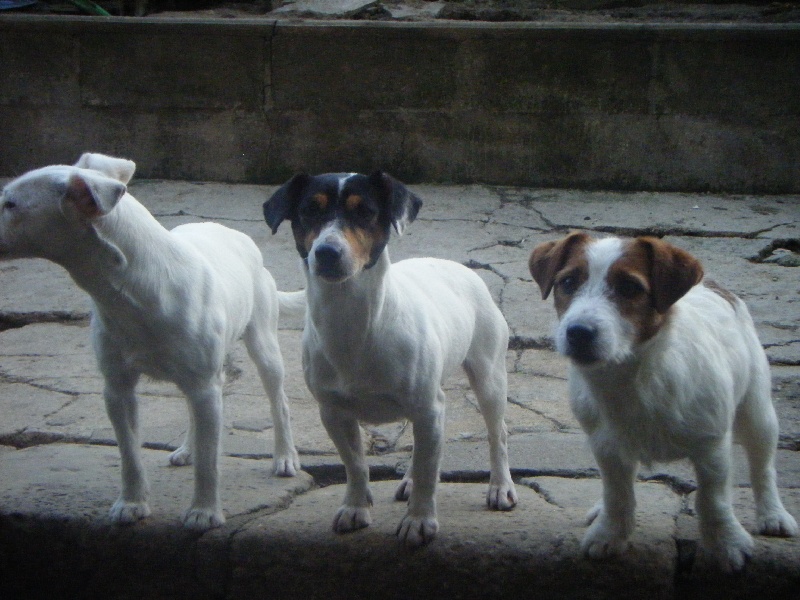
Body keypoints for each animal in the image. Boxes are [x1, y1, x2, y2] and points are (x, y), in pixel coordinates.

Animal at [0, 153, 302, 530]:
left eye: (11, 204)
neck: (135, 291)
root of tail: (233, 234)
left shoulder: (204, 385)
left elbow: (209, 461)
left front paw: (204, 511)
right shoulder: (118, 389)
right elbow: (129, 452)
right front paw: (132, 503)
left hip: (263, 347)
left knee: (279, 402)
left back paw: (284, 456)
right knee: (195, 415)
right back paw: (187, 448)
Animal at [263, 171, 518, 546]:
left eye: (364, 211)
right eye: (309, 210)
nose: (326, 252)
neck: (355, 325)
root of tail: (457, 267)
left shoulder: (429, 406)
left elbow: (428, 469)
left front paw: (419, 521)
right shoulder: (334, 413)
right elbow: (356, 465)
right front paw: (356, 508)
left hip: (489, 378)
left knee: (496, 433)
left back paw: (500, 487)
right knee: (422, 446)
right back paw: (409, 480)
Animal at [529, 232, 797, 570]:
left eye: (629, 287)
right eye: (567, 282)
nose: (578, 332)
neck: (636, 377)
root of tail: (711, 284)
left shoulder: (712, 447)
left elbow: (713, 500)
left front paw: (726, 543)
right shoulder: (606, 445)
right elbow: (617, 494)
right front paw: (610, 533)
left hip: (757, 413)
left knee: (762, 467)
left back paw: (773, 514)